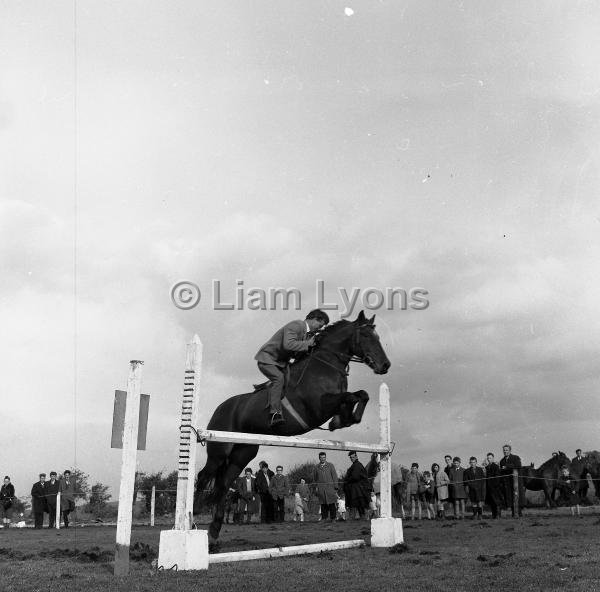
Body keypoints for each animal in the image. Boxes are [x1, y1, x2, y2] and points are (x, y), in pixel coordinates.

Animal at [195, 312, 392, 548]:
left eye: (377, 336)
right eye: (366, 335)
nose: (385, 365)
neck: (326, 365)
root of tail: (220, 409)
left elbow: (360, 396)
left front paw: (341, 421)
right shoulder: (319, 407)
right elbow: (351, 396)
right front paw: (339, 421)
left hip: (242, 453)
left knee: (223, 485)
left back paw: (213, 535)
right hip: (219, 450)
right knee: (204, 477)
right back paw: (191, 522)